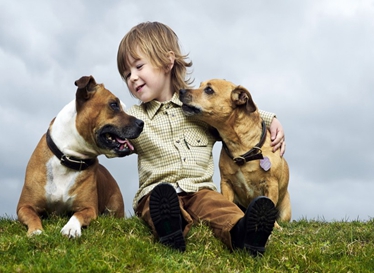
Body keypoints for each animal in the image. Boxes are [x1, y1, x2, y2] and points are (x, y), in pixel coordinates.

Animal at [16, 74, 144, 236]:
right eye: (114, 105)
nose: (141, 123)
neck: (68, 158)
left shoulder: (88, 208)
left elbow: (78, 215)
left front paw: (71, 228)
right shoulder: (24, 206)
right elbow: (32, 215)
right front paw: (36, 231)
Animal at [180, 79, 290, 227]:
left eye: (209, 90)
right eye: (200, 85)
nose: (180, 91)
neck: (241, 148)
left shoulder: (271, 184)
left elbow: (270, 205)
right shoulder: (226, 183)